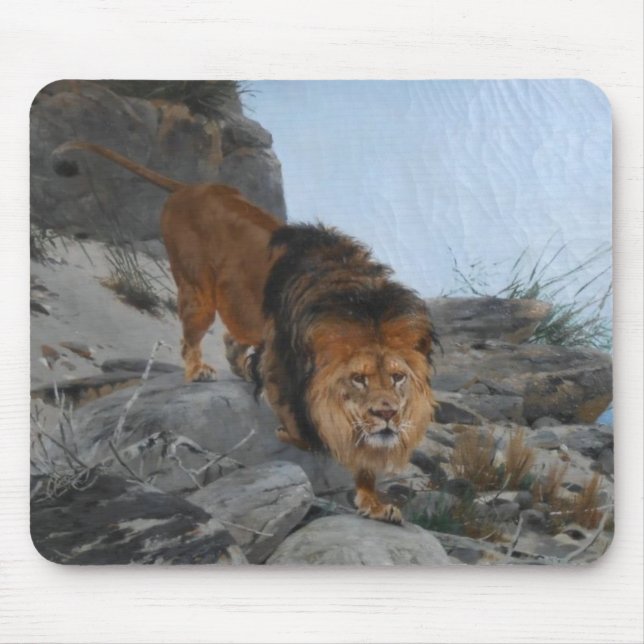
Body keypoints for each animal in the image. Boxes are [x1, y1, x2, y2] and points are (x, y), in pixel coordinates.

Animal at [253, 224, 437, 524]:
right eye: (359, 379)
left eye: (398, 377)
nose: (387, 414)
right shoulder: (285, 370)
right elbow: (299, 422)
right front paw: (293, 434)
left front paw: (374, 505)